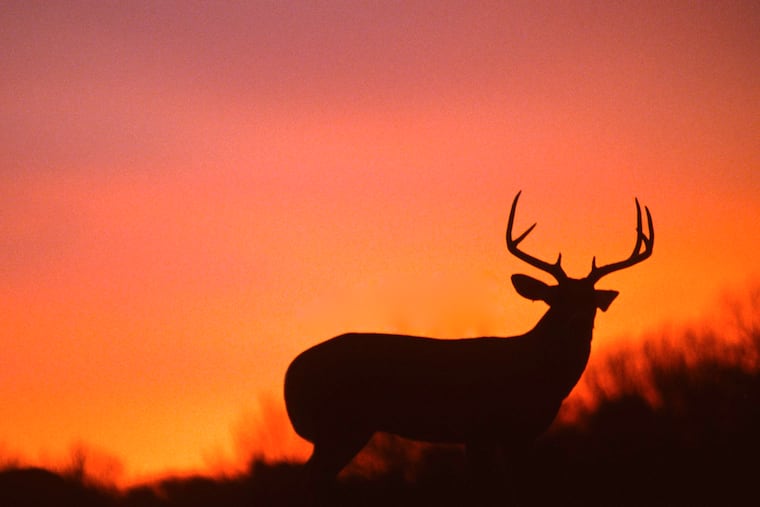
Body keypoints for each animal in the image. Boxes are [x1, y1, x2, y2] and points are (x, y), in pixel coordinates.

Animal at [284, 191, 653, 500]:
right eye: (556, 299)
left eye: (590, 303)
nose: (576, 320)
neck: (535, 374)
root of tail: (291, 372)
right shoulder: (479, 426)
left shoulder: (520, 434)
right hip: (340, 425)